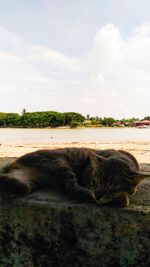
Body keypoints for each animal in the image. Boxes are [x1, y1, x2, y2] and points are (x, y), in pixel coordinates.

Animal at [0, 149, 149, 207]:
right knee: (72, 189)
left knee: (15, 183)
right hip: (61, 165)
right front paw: (122, 198)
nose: (97, 196)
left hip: (30, 180)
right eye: (93, 182)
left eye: (112, 188)